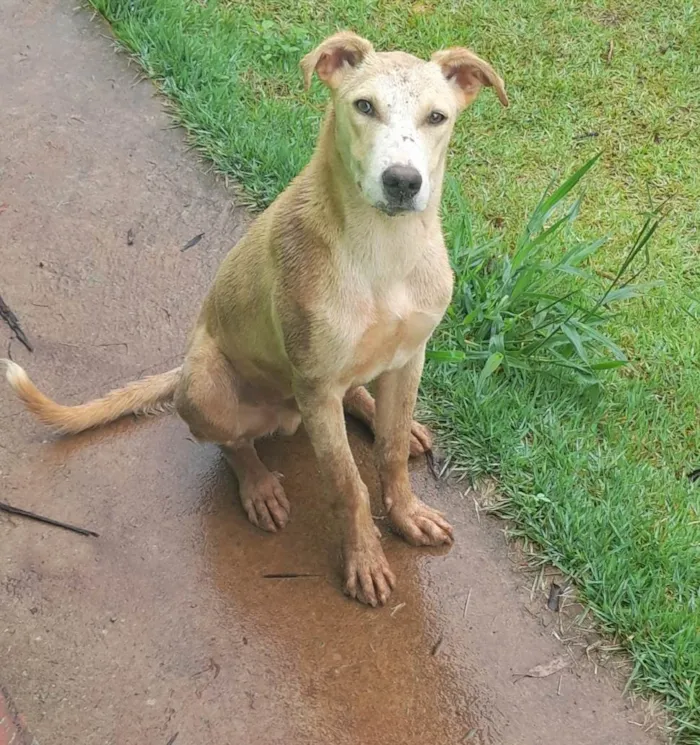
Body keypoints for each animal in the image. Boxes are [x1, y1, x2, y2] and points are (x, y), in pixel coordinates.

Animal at [1, 32, 508, 608]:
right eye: (364, 107)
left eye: (437, 117)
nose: (403, 182)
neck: (385, 250)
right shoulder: (316, 385)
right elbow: (346, 484)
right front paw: (363, 558)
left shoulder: (409, 357)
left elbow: (392, 452)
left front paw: (406, 512)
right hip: (208, 383)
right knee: (231, 443)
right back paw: (258, 484)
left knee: (360, 400)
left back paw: (373, 411)